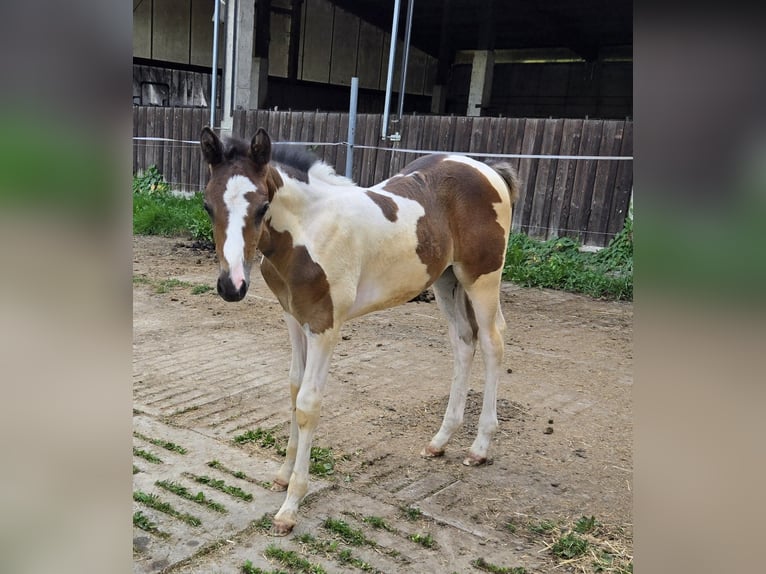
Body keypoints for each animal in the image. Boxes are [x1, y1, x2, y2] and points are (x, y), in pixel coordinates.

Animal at [200, 127, 520, 536]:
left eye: (261, 207)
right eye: (208, 206)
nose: (232, 286)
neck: (310, 230)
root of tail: (486, 168)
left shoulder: (325, 325)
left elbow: (308, 403)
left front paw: (291, 505)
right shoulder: (294, 318)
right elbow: (293, 388)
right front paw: (283, 475)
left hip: (482, 277)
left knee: (494, 342)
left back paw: (479, 447)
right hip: (446, 280)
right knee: (464, 341)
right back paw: (440, 440)